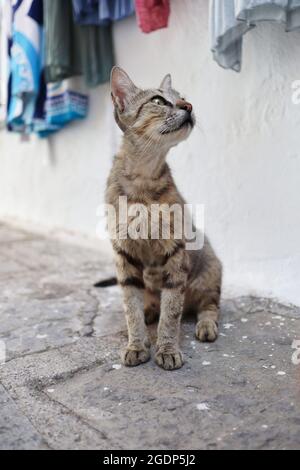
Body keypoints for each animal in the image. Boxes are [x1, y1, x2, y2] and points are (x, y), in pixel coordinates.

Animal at [104, 67, 221, 370]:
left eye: (183, 97)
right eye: (158, 101)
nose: (188, 106)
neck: (144, 177)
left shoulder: (175, 253)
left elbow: (171, 311)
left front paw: (167, 348)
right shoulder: (124, 255)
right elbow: (130, 308)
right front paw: (136, 343)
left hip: (209, 273)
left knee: (209, 306)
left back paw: (205, 325)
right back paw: (149, 310)